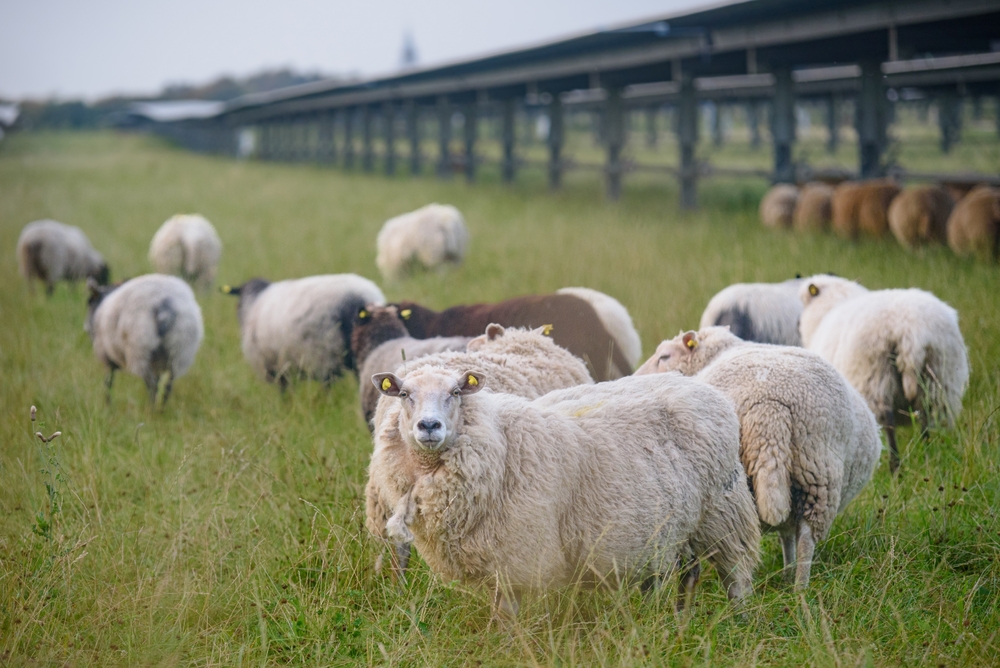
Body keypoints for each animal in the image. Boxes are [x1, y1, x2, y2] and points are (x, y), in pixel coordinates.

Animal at [85, 274, 203, 407]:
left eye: (89, 301)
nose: (85, 326)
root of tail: (164, 306)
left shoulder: (106, 356)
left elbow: (108, 383)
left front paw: (108, 407)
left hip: (140, 348)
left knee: (152, 386)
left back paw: (152, 409)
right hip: (180, 350)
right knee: (167, 386)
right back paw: (161, 408)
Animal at [366, 367, 760, 616]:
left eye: (456, 393)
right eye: (404, 394)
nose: (429, 426)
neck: (499, 442)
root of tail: (703, 387)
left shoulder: (519, 552)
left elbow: (507, 613)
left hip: (723, 510)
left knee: (736, 574)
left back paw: (738, 621)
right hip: (679, 525)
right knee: (688, 574)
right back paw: (677, 624)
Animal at [635, 327, 880, 588]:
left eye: (664, 356)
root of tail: (770, 405)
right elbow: (786, 534)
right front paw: (787, 570)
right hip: (818, 470)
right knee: (805, 536)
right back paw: (798, 586)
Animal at [799, 275, 969, 473]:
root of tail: (910, 330)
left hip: (875, 377)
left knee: (889, 421)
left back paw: (895, 467)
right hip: (938, 377)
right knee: (925, 417)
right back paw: (926, 458)